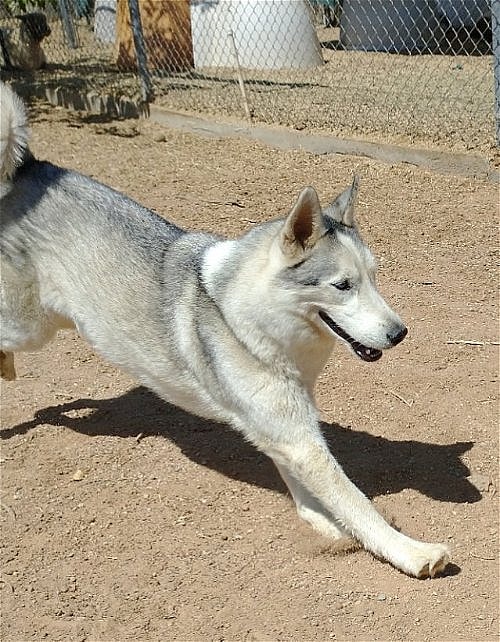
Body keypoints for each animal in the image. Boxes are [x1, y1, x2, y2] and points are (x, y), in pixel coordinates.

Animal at [0, 83, 450, 578]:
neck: (252, 321)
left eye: (374, 277)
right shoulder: (298, 438)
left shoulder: (284, 429)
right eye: (342, 286)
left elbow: (308, 492)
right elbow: (358, 504)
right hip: (31, 327)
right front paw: (412, 552)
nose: (399, 333)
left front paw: (324, 524)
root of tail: (30, 166)